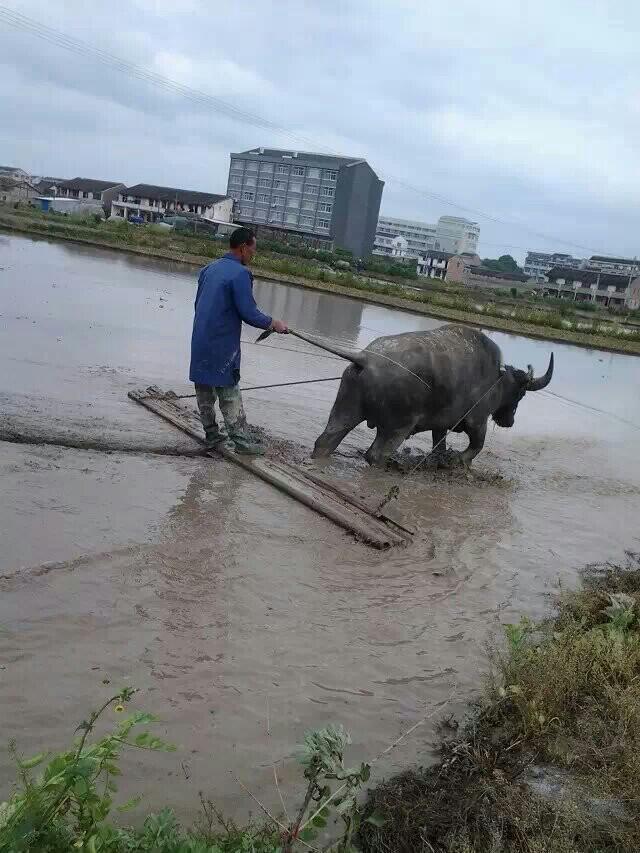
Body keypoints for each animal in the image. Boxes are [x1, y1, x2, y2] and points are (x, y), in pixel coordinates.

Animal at [312, 322, 552, 466]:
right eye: (521, 394)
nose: (509, 421)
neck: (497, 379)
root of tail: (367, 358)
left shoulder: (441, 424)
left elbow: (439, 444)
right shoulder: (477, 420)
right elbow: (476, 446)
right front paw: (459, 462)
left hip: (345, 409)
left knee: (326, 440)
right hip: (397, 427)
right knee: (376, 454)